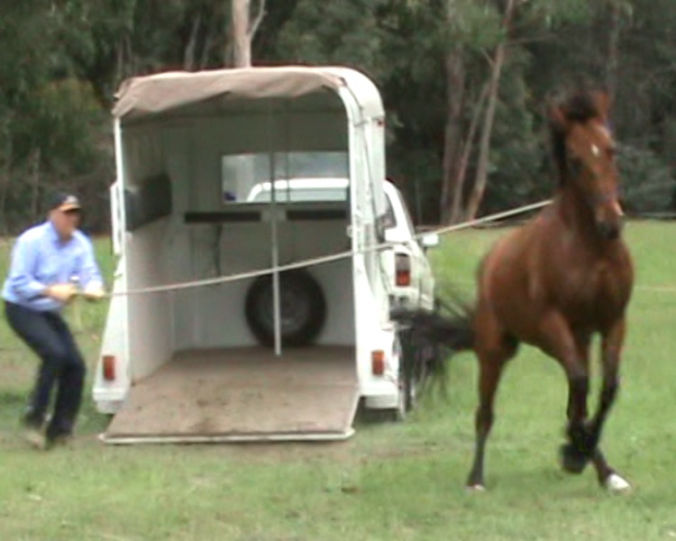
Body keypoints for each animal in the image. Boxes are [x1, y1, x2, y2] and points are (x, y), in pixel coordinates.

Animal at [396, 90, 634, 492]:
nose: (611, 223)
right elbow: (582, 387)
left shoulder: (612, 321)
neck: (591, 248)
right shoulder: (553, 322)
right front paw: (573, 451)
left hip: (576, 341)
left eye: (611, 149)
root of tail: (490, 262)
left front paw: (587, 457)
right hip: (496, 349)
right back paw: (477, 478)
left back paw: (598, 466)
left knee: (579, 398)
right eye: (575, 160)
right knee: (486, 413)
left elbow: (607, 389)